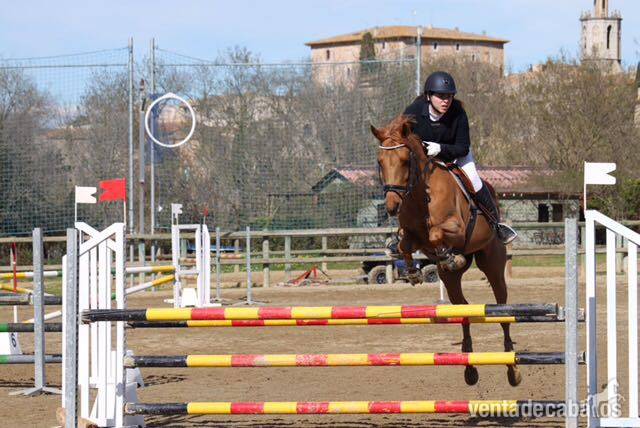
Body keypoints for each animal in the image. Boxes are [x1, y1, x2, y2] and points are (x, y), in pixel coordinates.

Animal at [370, 114, 521, 387]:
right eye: (380, 162)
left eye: (405, 160)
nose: (391, 205)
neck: (420, 195)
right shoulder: (412, 236)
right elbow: (404, 245)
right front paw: (413, 273)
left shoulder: (457, 229)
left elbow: (436, 233)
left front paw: (449, 255)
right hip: (451, 282)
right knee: (463, 309)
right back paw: (470, 368)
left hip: (493, 264)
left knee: (501, 308)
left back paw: (511, 368)